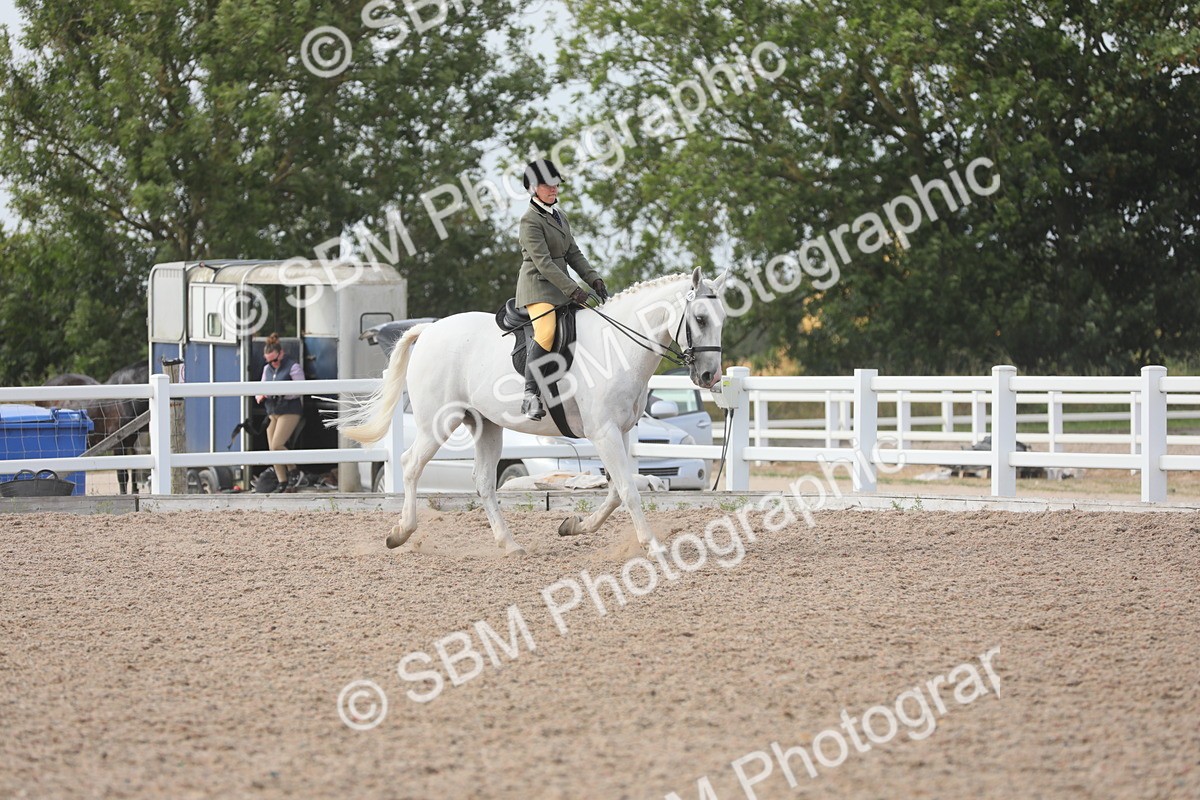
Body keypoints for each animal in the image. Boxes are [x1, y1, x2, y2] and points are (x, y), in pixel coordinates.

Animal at [335, 268, 728, 555]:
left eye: (722, 317)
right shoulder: (603, 432)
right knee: (410, 465)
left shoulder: (621, 431)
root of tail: (429, 330)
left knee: (483, 482)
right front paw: (653, 545)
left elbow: (617, 490)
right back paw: (400, 533)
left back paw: (509, 544)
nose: (710, 376)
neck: (616, 346)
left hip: (485, 426)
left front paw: (574, 526)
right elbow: (628, 491)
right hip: (438, 423)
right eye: (700, 318)